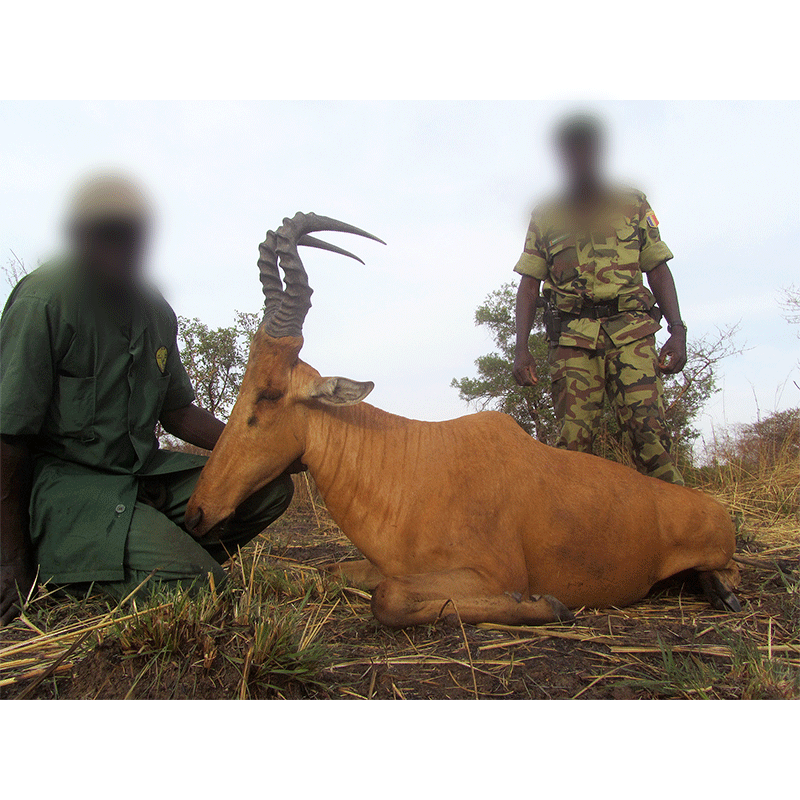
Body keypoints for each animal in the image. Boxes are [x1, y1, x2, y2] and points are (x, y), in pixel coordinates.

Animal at [184, 212, 740, 624]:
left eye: (270, 394)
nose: (195, 513)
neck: (411, 465)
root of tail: (712, 507)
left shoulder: (493, 575)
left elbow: (390, 599)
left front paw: (548, 606)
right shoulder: (382, 566)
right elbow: (338, 573)